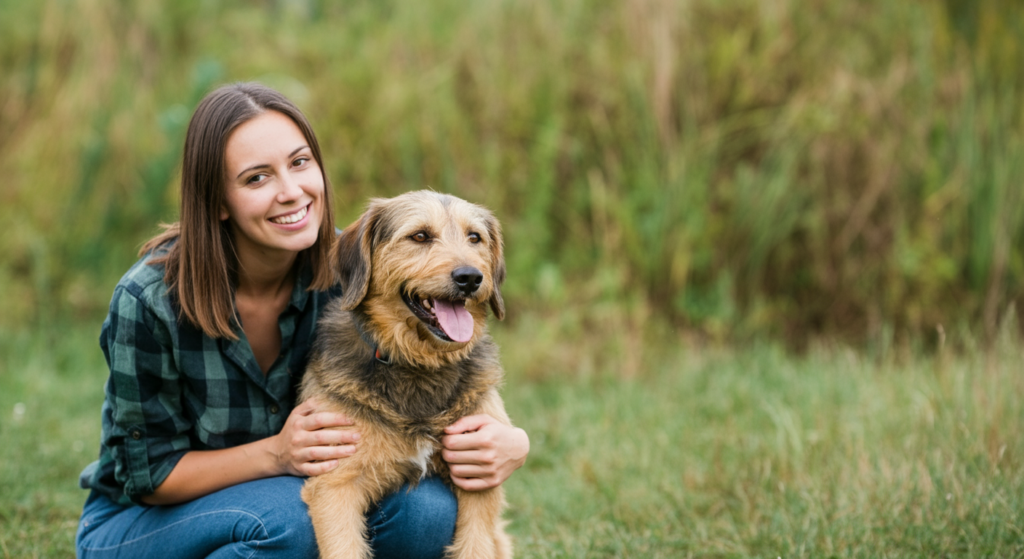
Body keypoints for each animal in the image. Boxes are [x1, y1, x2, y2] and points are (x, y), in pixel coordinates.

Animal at [299, 189, 516, 552]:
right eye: (420, 236)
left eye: (474, 237)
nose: (470, 277)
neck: (420, 364)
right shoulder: (336, 483)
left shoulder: (478, 475)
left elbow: (476, 545)